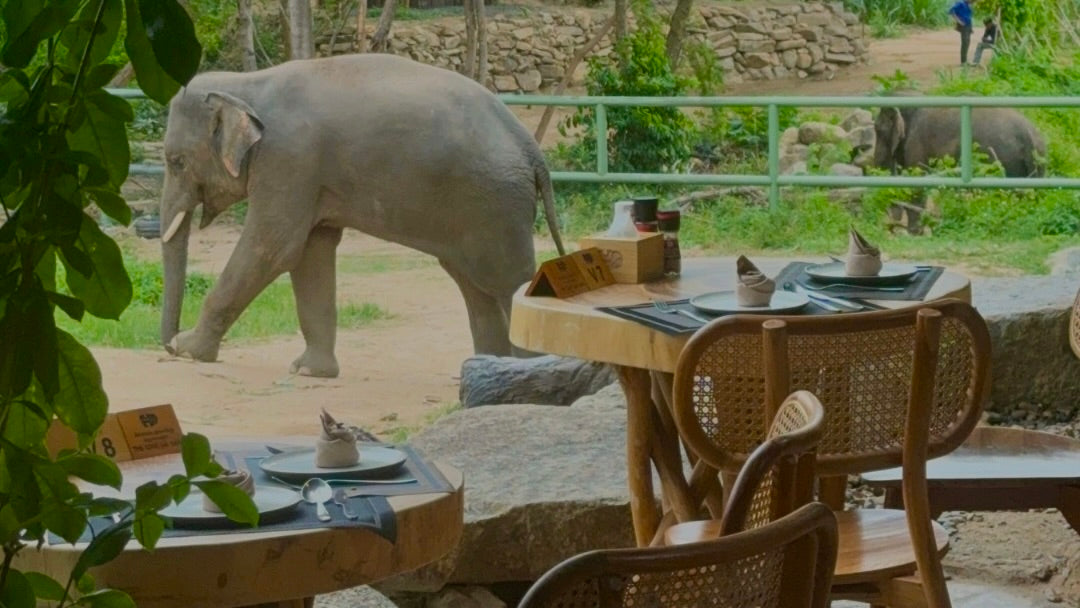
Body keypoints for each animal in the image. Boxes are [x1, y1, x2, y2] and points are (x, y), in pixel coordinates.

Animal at [159, 54, 565, 378]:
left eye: (175, 162)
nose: (166, 345)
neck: (245, 85)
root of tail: (532, 150)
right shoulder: (309, 176)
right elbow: (310, 254)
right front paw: (310, 371)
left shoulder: (289, 160)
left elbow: (273, 248)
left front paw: (189, 351)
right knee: (475, 284)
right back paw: (484, 367)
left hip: (495, 204)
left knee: (506, 280)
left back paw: (527, 371)